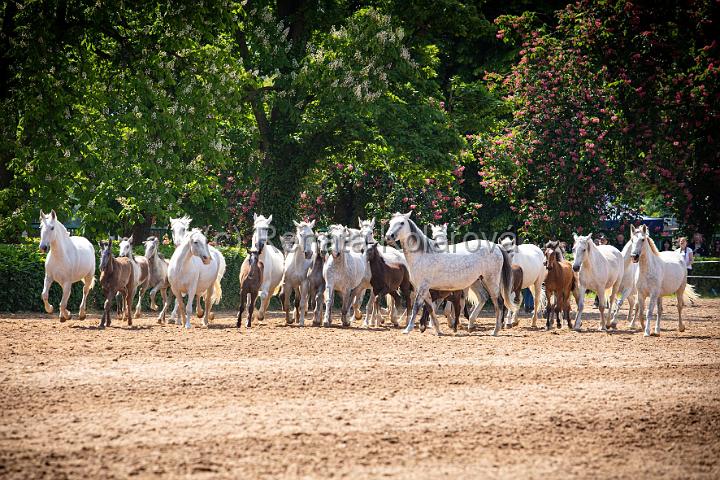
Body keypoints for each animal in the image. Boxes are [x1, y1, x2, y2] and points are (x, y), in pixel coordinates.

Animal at [386, 212, 516, 336]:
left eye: (402, 223)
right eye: (390, 223)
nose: (388, 236)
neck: (422, 254)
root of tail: (497, 247)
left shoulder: (422, 287)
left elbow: (417, 307)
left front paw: (408, 329)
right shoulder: (425, 289)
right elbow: (430, 308)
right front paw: (437, 330)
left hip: (491, 281)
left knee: (499, 302)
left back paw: (495, 330)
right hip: (480, 280)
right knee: (487, 299)